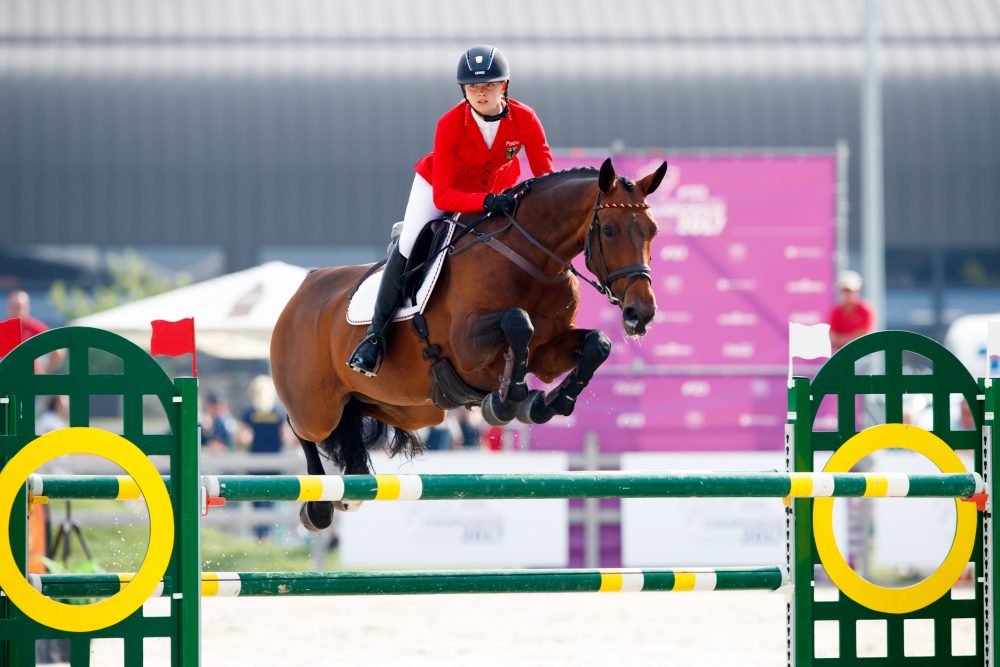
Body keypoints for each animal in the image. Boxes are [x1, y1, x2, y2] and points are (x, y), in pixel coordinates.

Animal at [270, 158, 668, 532]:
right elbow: (518, 322)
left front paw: (546, 404)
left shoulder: (548, 353)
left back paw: (353, 481)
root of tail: (302, 289)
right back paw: (319, 508)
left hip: (411, 408)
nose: (640, 314)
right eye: (609, 230)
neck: (533, 260)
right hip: (316, 409)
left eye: (653, 230)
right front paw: (509, 400)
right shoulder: (468, 345)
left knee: (356, 417)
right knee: (301, 428)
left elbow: (597, 345)